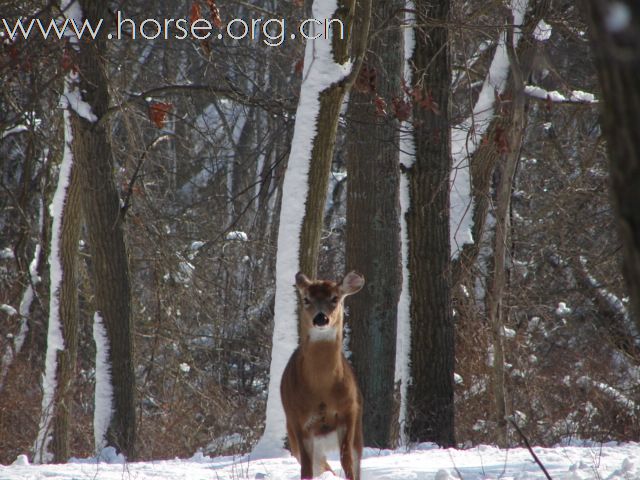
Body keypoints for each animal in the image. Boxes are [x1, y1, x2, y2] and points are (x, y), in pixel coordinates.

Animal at [282, 270, 364, 480]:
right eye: (306, 298)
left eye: (335, 298)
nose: (321, 318)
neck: (321, 389)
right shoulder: (299, 420)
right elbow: (306, 469)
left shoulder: (349, 411)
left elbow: (347, 461)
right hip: (294, 439)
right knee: (322, 467)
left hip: (357, 433)